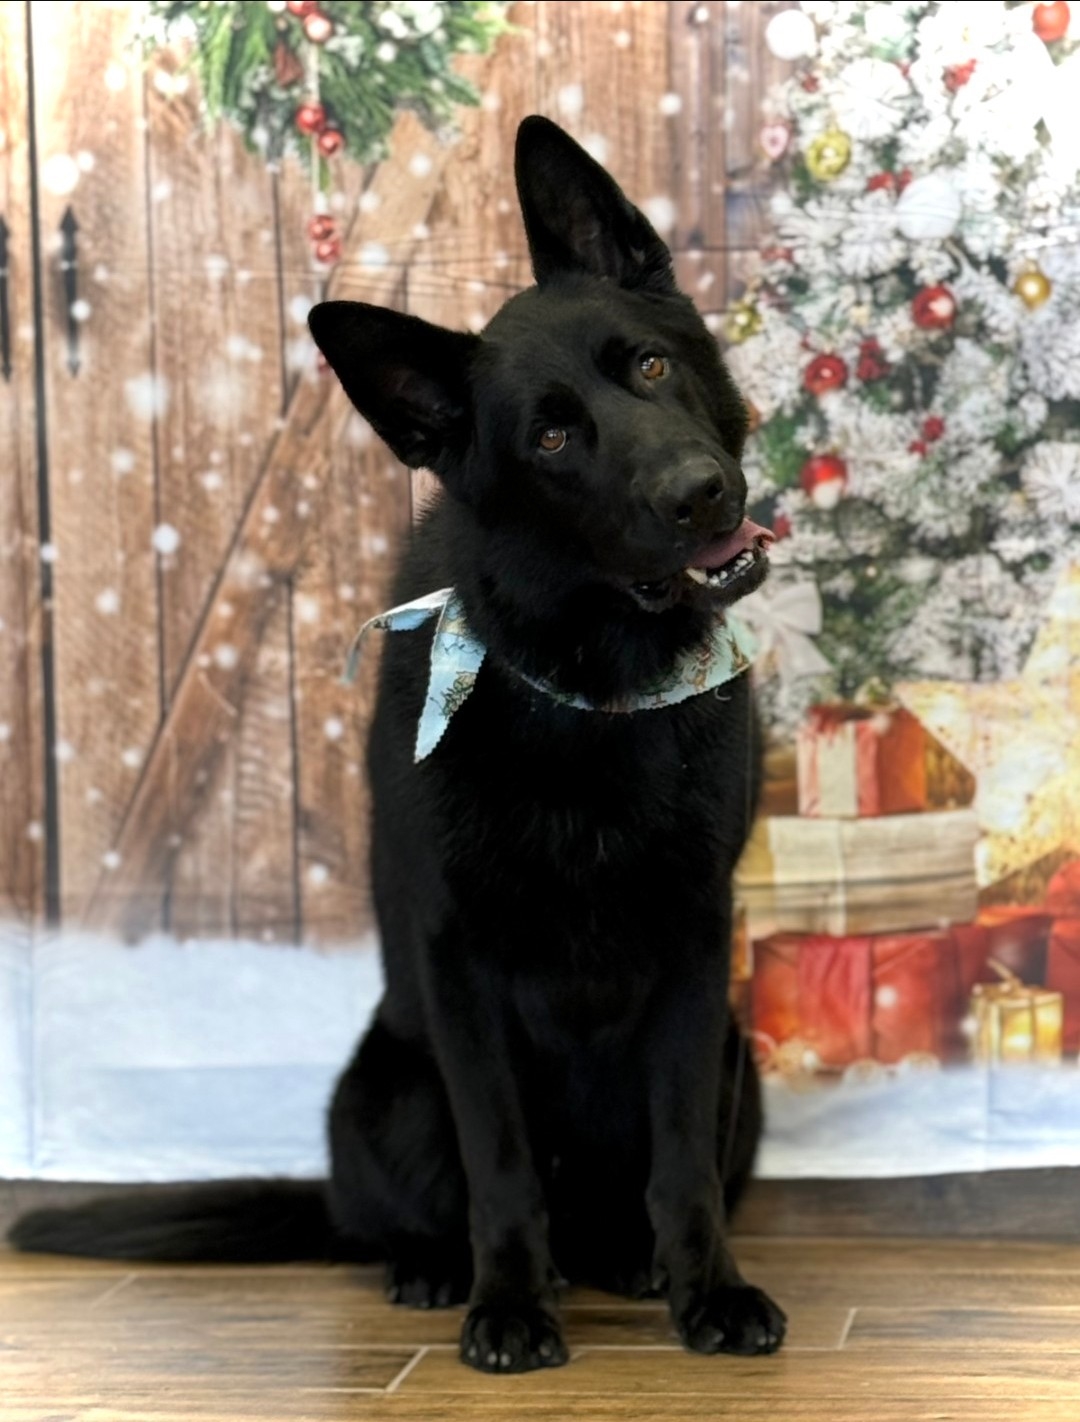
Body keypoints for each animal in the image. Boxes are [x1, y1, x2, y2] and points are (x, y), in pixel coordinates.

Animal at [10, 115, 786, 1374]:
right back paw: (439, 1270)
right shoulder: (458, 961)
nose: (701, 494)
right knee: (409, 1213)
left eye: (651, 367)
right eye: (553, 436)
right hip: (382, 1087)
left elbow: (681, 1161)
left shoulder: (693, 952)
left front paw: (707, 1290)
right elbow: (500, 1161)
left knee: (637, 1191)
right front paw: (509, 1304)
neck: (582, 684)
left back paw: (627, 1258)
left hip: (739, 1061)